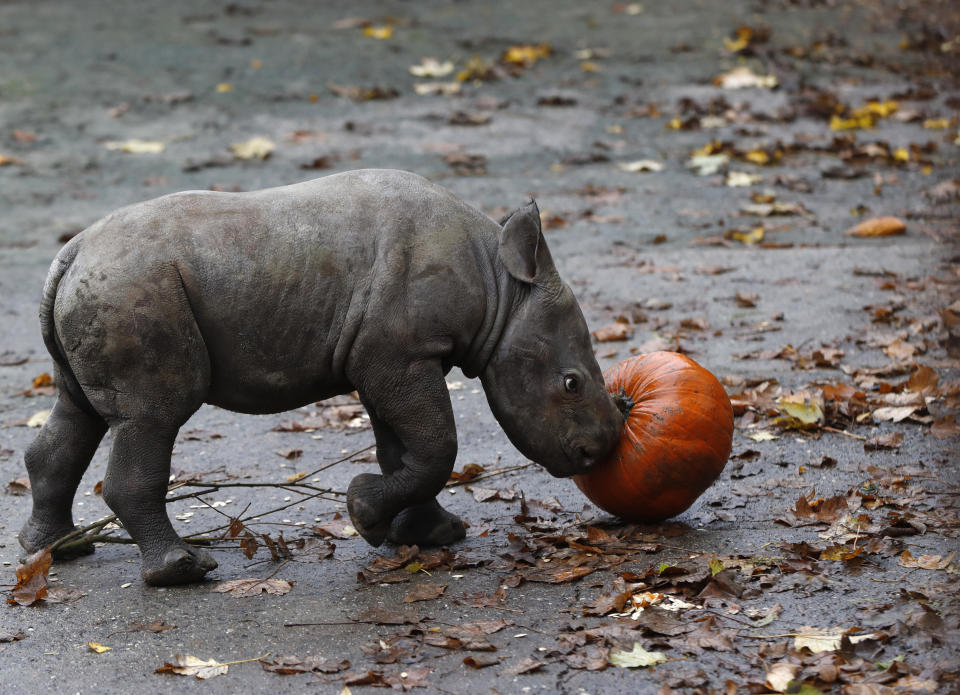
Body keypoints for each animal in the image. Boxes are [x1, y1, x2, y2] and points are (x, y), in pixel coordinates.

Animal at [22, 170, 628, 588]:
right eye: (572, 384)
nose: (597, 453)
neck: (500, 289)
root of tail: (70, 255)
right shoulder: (399, 354)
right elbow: (437, 444)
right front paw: (364, 515)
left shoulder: (390, 354)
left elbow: (404, 448)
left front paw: (430, 534)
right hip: (134, 288)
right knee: (153, 416)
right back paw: (184, 571)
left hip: (109, 287)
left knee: (79, 410)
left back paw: (57, 550)